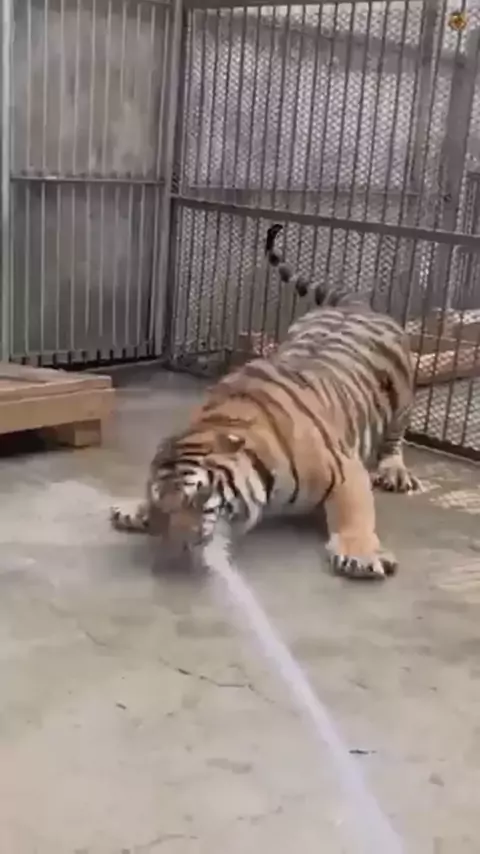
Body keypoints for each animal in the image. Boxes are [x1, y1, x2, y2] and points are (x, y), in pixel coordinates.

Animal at [110, 223, 420, 579]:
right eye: (161, 505)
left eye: (199, 498)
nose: (180, 546)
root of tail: (357, 305)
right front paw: (135, 509)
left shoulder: (345, 469)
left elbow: (355, 513)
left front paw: (360, 555)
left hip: (402, 397)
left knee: (395, 440)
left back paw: (394, 471)